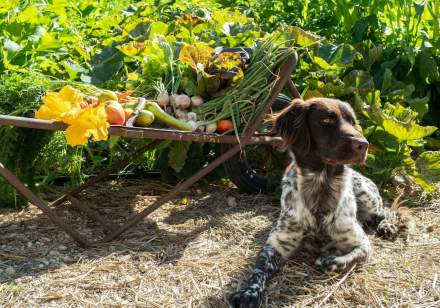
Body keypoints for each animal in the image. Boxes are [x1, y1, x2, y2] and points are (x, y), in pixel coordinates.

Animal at [230, 97, 412, 306]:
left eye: (353, 122)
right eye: (326, 121)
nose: (363, 144)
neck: (321, 186)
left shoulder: (362, 243)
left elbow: (351, 257)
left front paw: (329, 260)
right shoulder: (277, 243)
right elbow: (259, 269)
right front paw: (249, 292)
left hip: (366, 195)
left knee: (386, 212)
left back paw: (387, 226)